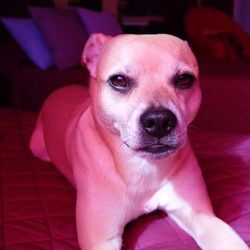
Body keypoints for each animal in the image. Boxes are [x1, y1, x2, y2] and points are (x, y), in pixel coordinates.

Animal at [29, 33, 248, 250]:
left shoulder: (201, 214)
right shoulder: (101, 240)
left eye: (184, 79)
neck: (143, 166)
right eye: (119, 80)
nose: (159, 121)